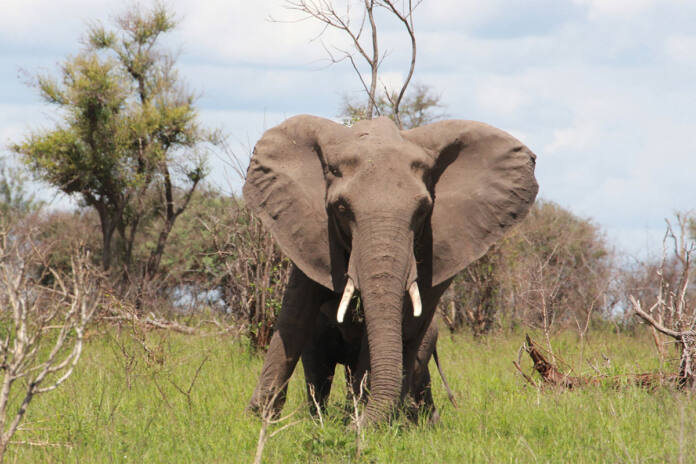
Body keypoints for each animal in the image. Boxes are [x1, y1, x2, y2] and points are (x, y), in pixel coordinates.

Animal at [244, 115, 538, 425]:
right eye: (341, 209)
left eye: (422, 211)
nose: (356, 425)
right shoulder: (311, 232)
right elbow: (296, 315)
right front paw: (259, 420)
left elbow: (405, 321)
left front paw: (360, 421)